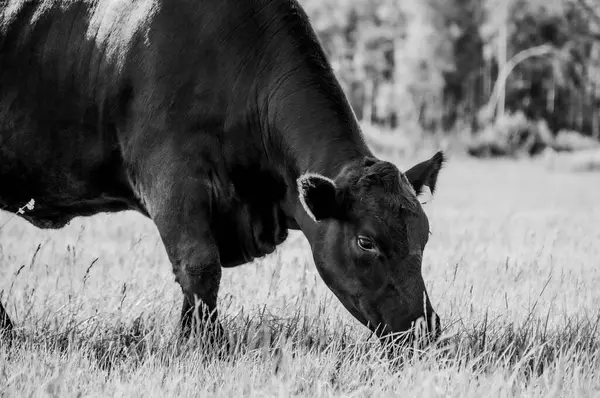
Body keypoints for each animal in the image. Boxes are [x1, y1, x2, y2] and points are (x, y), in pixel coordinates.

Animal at [1, 0, 446, 342]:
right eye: (366, 242)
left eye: (425, 237)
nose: (424, 328)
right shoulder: (170, 173)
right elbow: (199, 265)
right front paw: (203, 344)